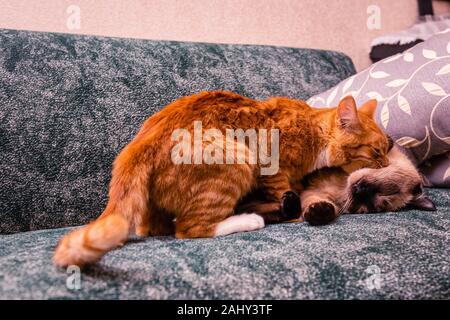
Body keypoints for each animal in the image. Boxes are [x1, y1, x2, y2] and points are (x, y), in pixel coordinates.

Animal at [53, 90, 390, 268]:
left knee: (159, 227)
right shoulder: (273, 167)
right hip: (237, 159)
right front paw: (294, 213)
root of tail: (138, 144)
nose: (386, 163)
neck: (313, 131)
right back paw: (250, 220)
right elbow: (285, 194)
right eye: (376, 151)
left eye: (387, 148)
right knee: (191, 229)